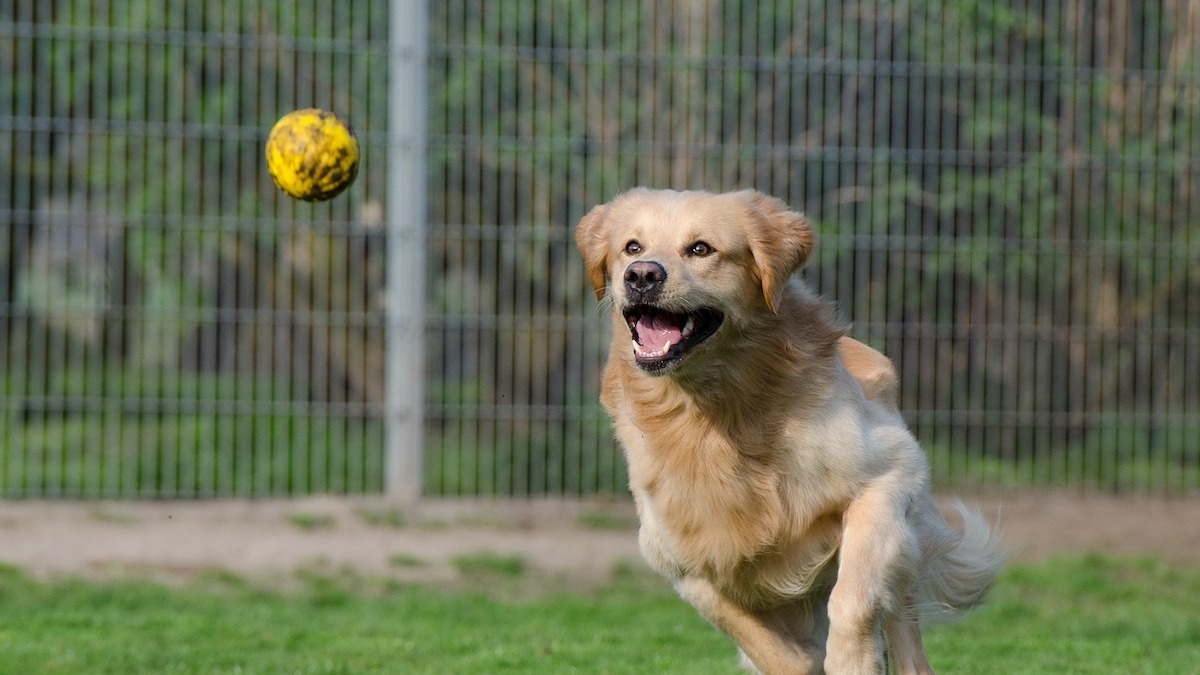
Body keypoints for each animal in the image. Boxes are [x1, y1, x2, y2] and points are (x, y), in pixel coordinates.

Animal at [571, 187, 1003, 672]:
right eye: (632, 247)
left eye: (700, 249)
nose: (642, 275)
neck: (717, 412)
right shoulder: (682, 561)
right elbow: (769, 646)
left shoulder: (889, 477)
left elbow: (853, 598)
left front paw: (851, 658)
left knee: (902, 628)